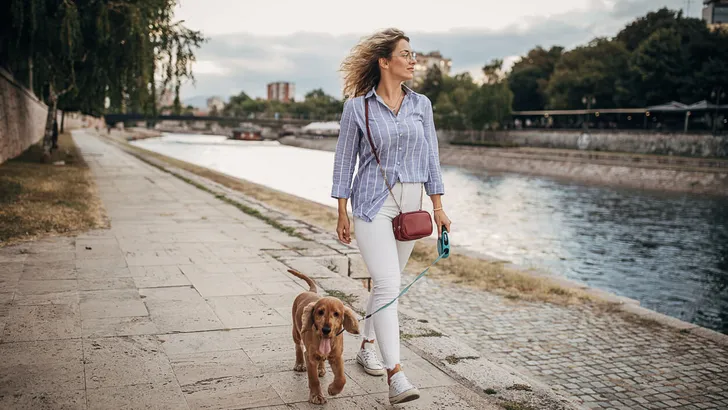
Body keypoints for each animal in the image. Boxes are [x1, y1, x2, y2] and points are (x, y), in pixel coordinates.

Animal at [288, 268, 362, 406]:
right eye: (320, 312)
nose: (326, 330)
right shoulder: (310, 357)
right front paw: (317, 396)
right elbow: (314, 380)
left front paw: (333, 389)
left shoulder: (337, 356)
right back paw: (300, 364)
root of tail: (310, 291)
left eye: (337, 314)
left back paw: (320, 369)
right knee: (298, 346)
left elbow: (342, 378)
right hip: (296, 331)